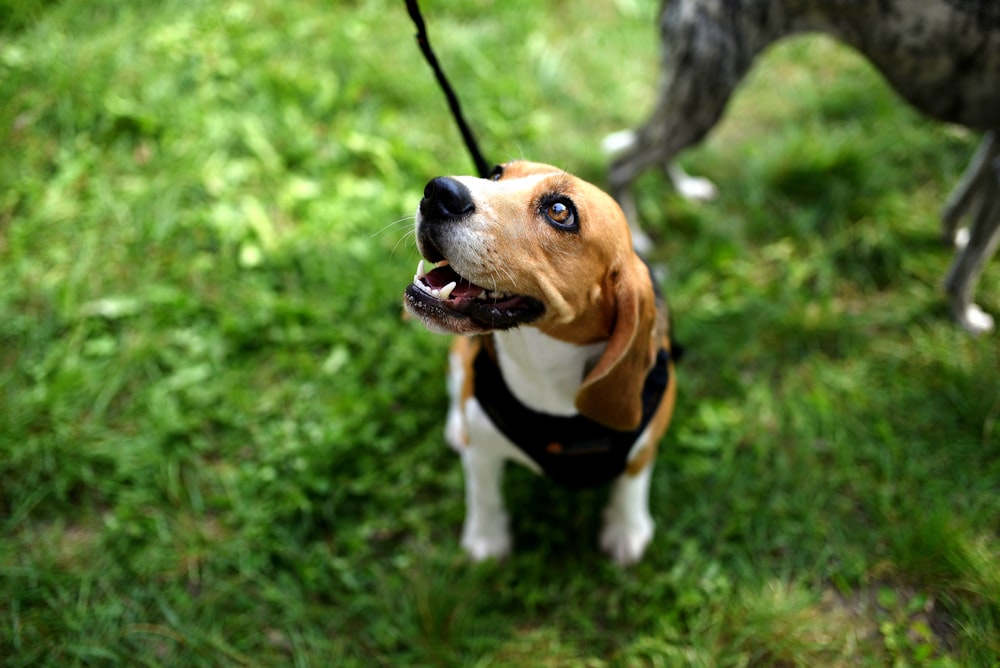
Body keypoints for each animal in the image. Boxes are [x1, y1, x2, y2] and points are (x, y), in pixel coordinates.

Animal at [402, 160, 676, 564]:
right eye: (496, 173)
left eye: (560, 211)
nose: (439, 191)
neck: (543, 370)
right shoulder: (482, 447)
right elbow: (484, 494)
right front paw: (487, 539)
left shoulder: (646, 440)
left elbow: (632, 480)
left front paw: (626, 530)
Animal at [604, 0, 1000, 334]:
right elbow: (976, 258)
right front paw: (964, 316)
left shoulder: (992, 145)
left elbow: (962, 209)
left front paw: (953, 238)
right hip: (705, 96)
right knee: (622, 164)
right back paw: (635, 236)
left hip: (695, 94)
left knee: (650, 146)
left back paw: (685, 188)